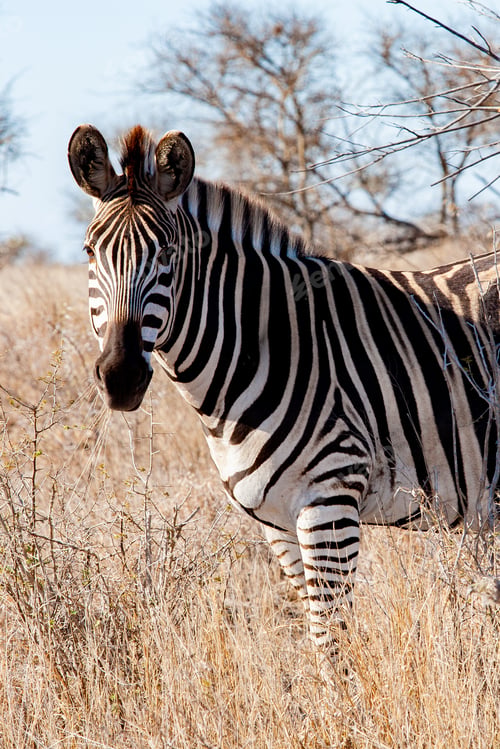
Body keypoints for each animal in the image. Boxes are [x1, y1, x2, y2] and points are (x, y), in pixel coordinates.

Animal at [68, 123, 499, 657]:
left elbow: (330, 639)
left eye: (167, 254)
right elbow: (314, 630)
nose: (121, 376)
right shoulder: (274, 520)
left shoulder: (330, 499)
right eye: (90, 252)